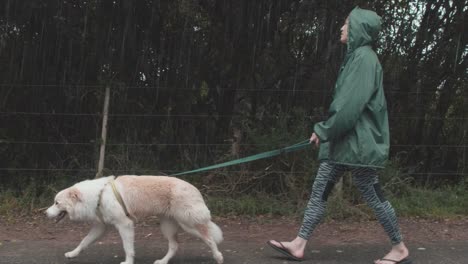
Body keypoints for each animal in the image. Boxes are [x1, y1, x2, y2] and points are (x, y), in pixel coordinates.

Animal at [44, 175, 224, 264]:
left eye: (56, 203)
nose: (45, 213)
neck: (99, 195)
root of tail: (195, 189)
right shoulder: (100, 227)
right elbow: (84, 242)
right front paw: (72, 254)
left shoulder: (125, 225)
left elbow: (128, 248)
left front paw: (128, 262)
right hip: (168, 226)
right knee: (175, 245)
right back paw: (162, 261)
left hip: (188, 224)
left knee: (209, 238)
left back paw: (218, 257)